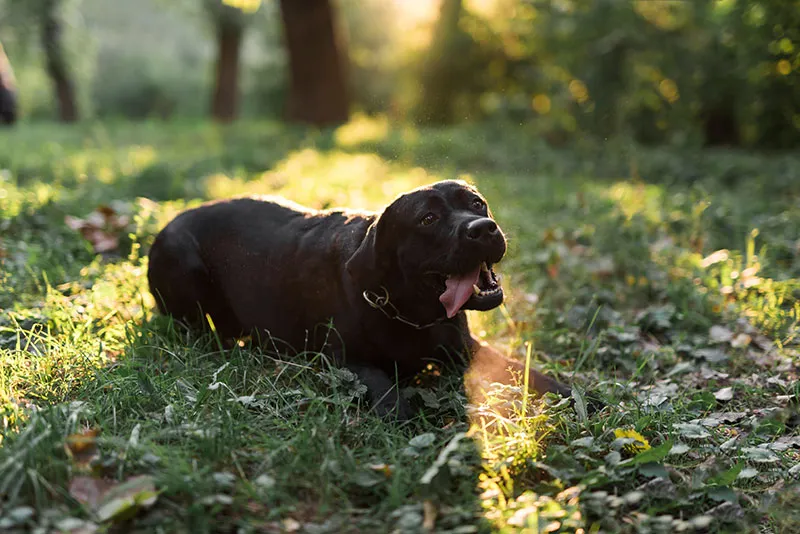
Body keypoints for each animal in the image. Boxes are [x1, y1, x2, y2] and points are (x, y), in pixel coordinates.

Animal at [145, 182, 568, 420]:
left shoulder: (465, 347)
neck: (408, 309)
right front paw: (403, 416)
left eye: (477, 204)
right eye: (428, 219)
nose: (483, 229)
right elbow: (384, 389)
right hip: (184, 262)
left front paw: (574, 393)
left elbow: (524, 370)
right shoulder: (342, 360)